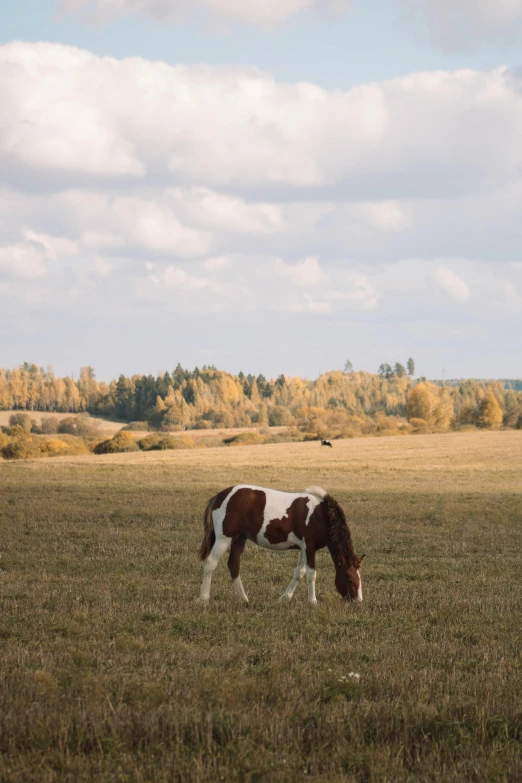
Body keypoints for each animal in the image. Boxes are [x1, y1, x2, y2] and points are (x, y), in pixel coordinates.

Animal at [197, 484, 364, 608]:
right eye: (349, 578)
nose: (358, 602)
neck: (321, 515)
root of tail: (220, 496)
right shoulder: (310, 547)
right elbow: (311, 574)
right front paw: (312, 602)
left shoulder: (303, 548)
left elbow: (299, 572)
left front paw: (285, 597)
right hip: (224, 539)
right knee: (211, 564)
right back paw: (204, 598)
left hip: (239, 539)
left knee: (233, 565)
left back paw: (243, 598)